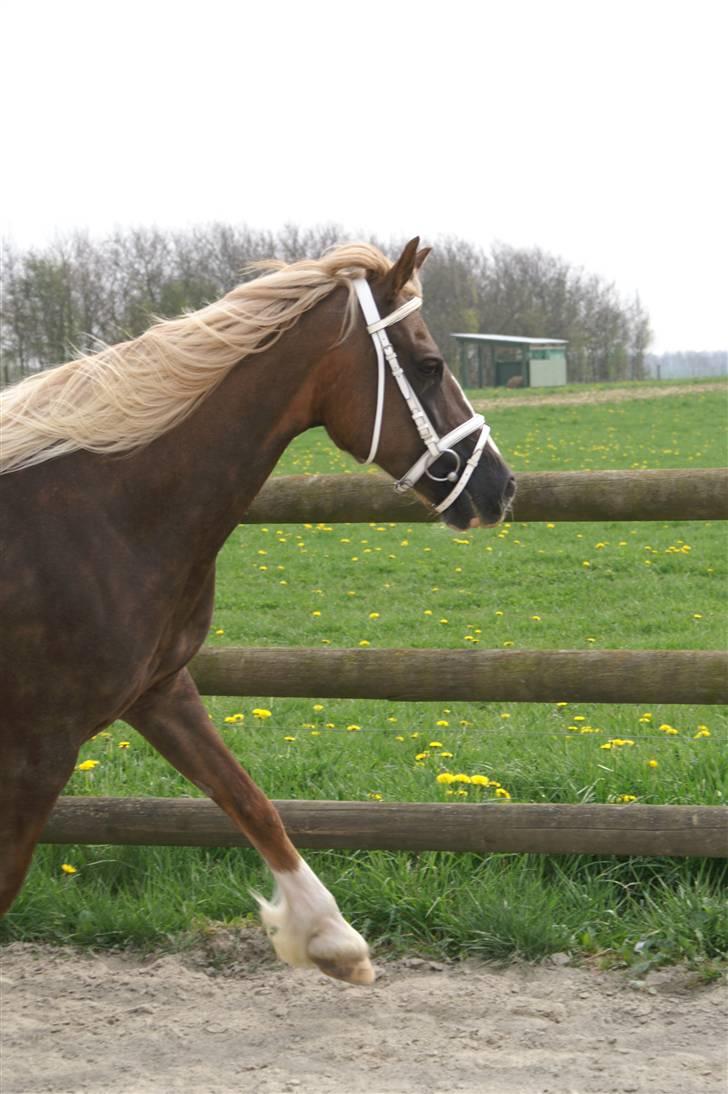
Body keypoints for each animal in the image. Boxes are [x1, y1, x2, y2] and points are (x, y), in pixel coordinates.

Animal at [0, 237, 514, 984]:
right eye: (430, 365)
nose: (501, 487)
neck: (100, 511)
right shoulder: (37, 748)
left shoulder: (159, 691)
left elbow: (250, 800)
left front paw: (333, 941)